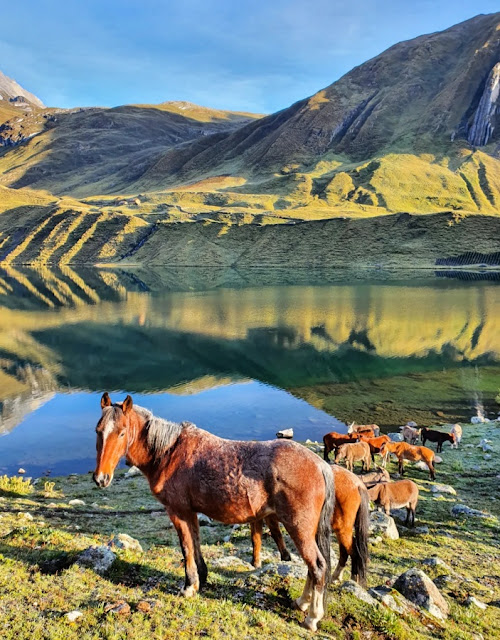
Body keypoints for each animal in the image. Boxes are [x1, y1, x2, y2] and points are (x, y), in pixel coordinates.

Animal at [94, 392, 336, 632]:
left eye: (122, 432)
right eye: (98, 430)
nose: (101, 478)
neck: (168, 453)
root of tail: (320, 465)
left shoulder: (177, 512)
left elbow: (186, 548)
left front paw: (189, 586)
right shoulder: (191, 513)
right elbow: (195, 543)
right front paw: (201, 578)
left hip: (298, 527)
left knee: (317, 566)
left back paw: (312, 617)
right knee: (312, 567)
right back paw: (301, 602)